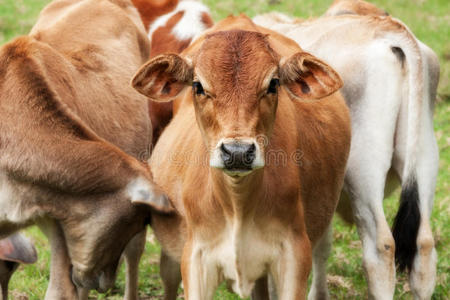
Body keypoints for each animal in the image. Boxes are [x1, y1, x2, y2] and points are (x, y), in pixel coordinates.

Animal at [134, 14, 352, 300]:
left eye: (273, 83)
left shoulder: (294, 257)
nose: (237, 152)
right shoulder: (196, 258)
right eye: (198, 85)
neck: (237, 205)